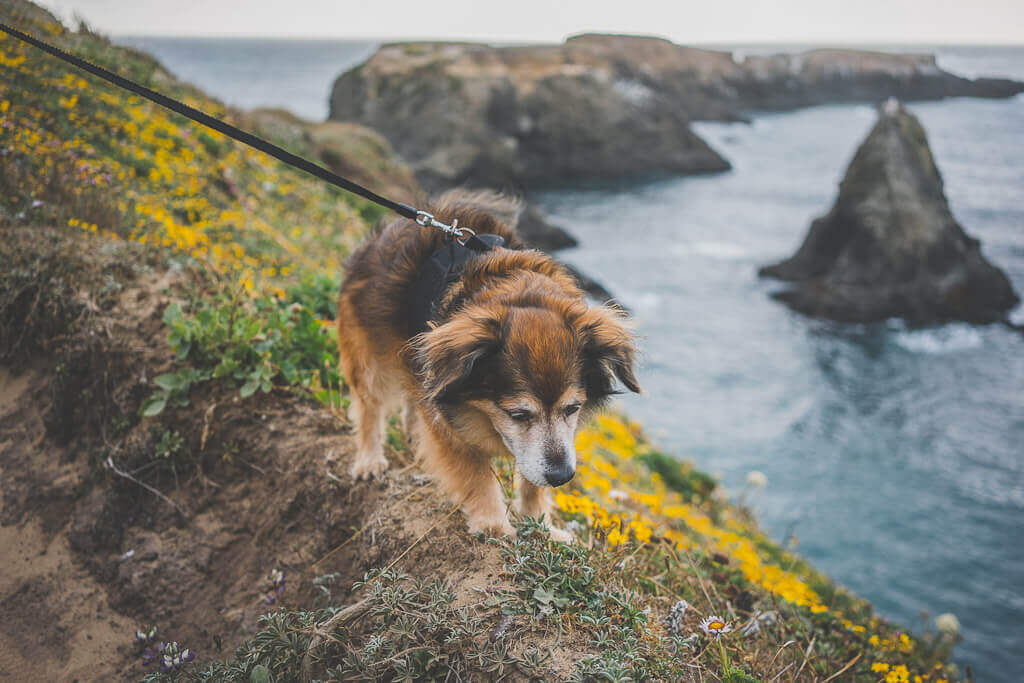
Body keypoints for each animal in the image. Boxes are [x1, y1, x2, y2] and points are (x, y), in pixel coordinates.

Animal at [337, 191, 638, 540]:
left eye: (573, 408)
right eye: (518, 415)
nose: (563, 477)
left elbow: (533, 482)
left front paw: (543, 526)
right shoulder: (451, 423)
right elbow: (476, 473)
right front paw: (494, 524)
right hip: (370, 351)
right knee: (369, 403)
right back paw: (369, 460)